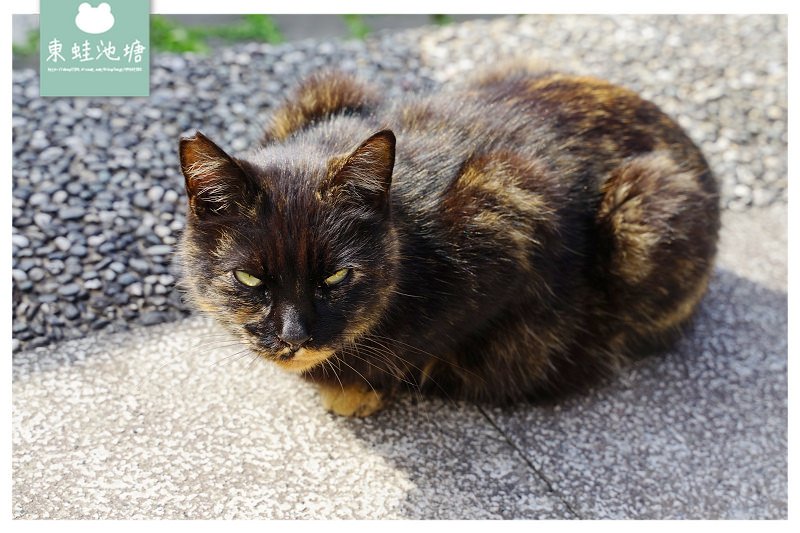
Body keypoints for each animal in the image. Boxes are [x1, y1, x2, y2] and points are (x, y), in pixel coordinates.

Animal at [180, 66, 720, 416]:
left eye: (336, 276)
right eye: (249, 278)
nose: (295, 337)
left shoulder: (513, 203)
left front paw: (361, 386)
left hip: (646, 206)